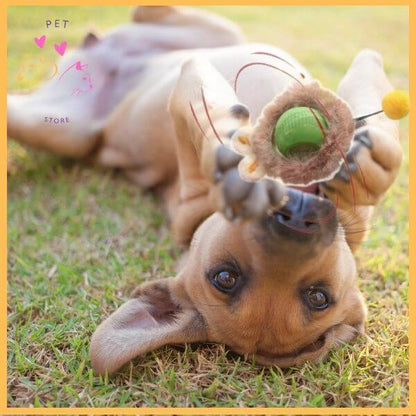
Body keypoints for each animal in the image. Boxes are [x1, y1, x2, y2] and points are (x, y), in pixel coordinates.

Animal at [7, 4, 404, 376]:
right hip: (61, 127)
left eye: (318, 297)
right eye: (225, 277)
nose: (296, 217)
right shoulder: (189, 89)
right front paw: (228, 155)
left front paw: (369, 163)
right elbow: (206, 111)